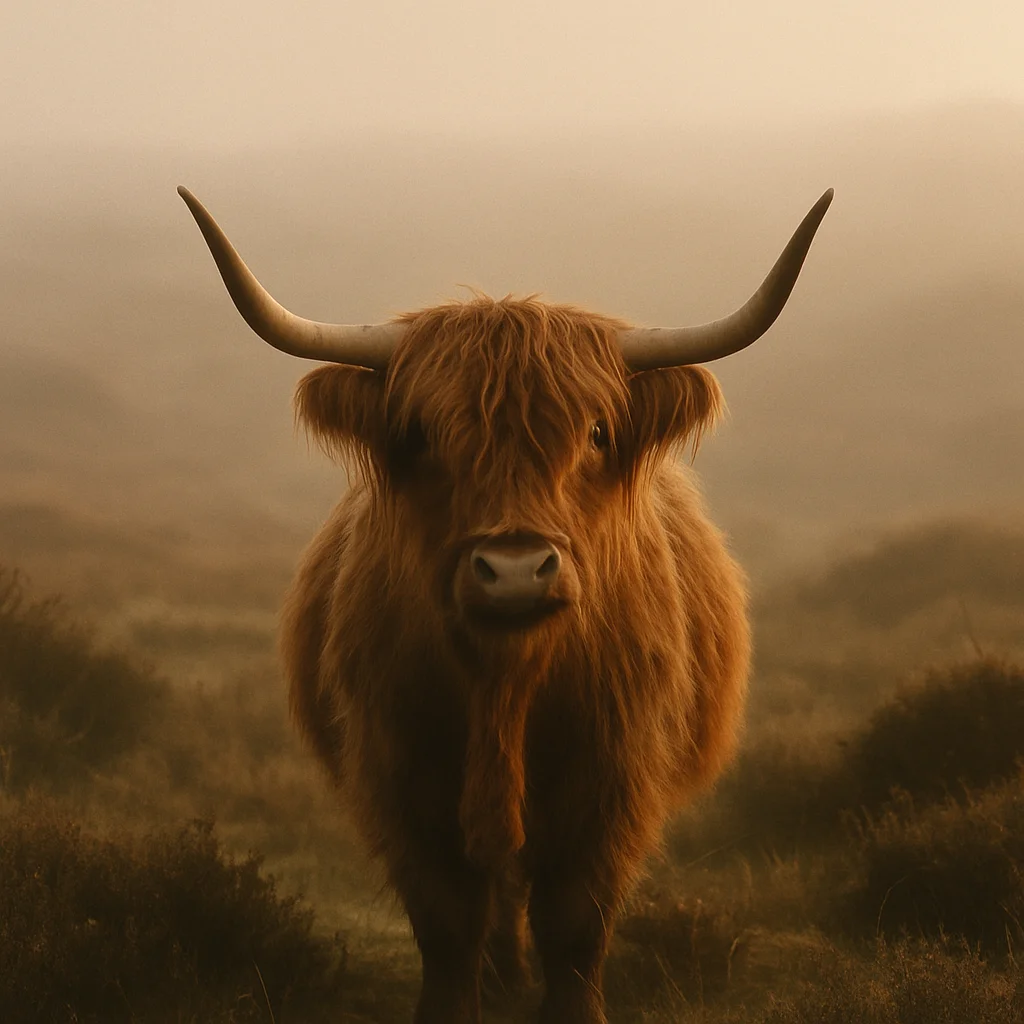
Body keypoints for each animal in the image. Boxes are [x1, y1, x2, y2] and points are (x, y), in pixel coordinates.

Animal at [178, 184, 832, 1024]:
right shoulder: (402, 781)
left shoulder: (612, 786)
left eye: (596, 432)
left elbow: (575, 927)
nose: (516, 572)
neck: (505, 688)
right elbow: (449, 925)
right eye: (422, 434)